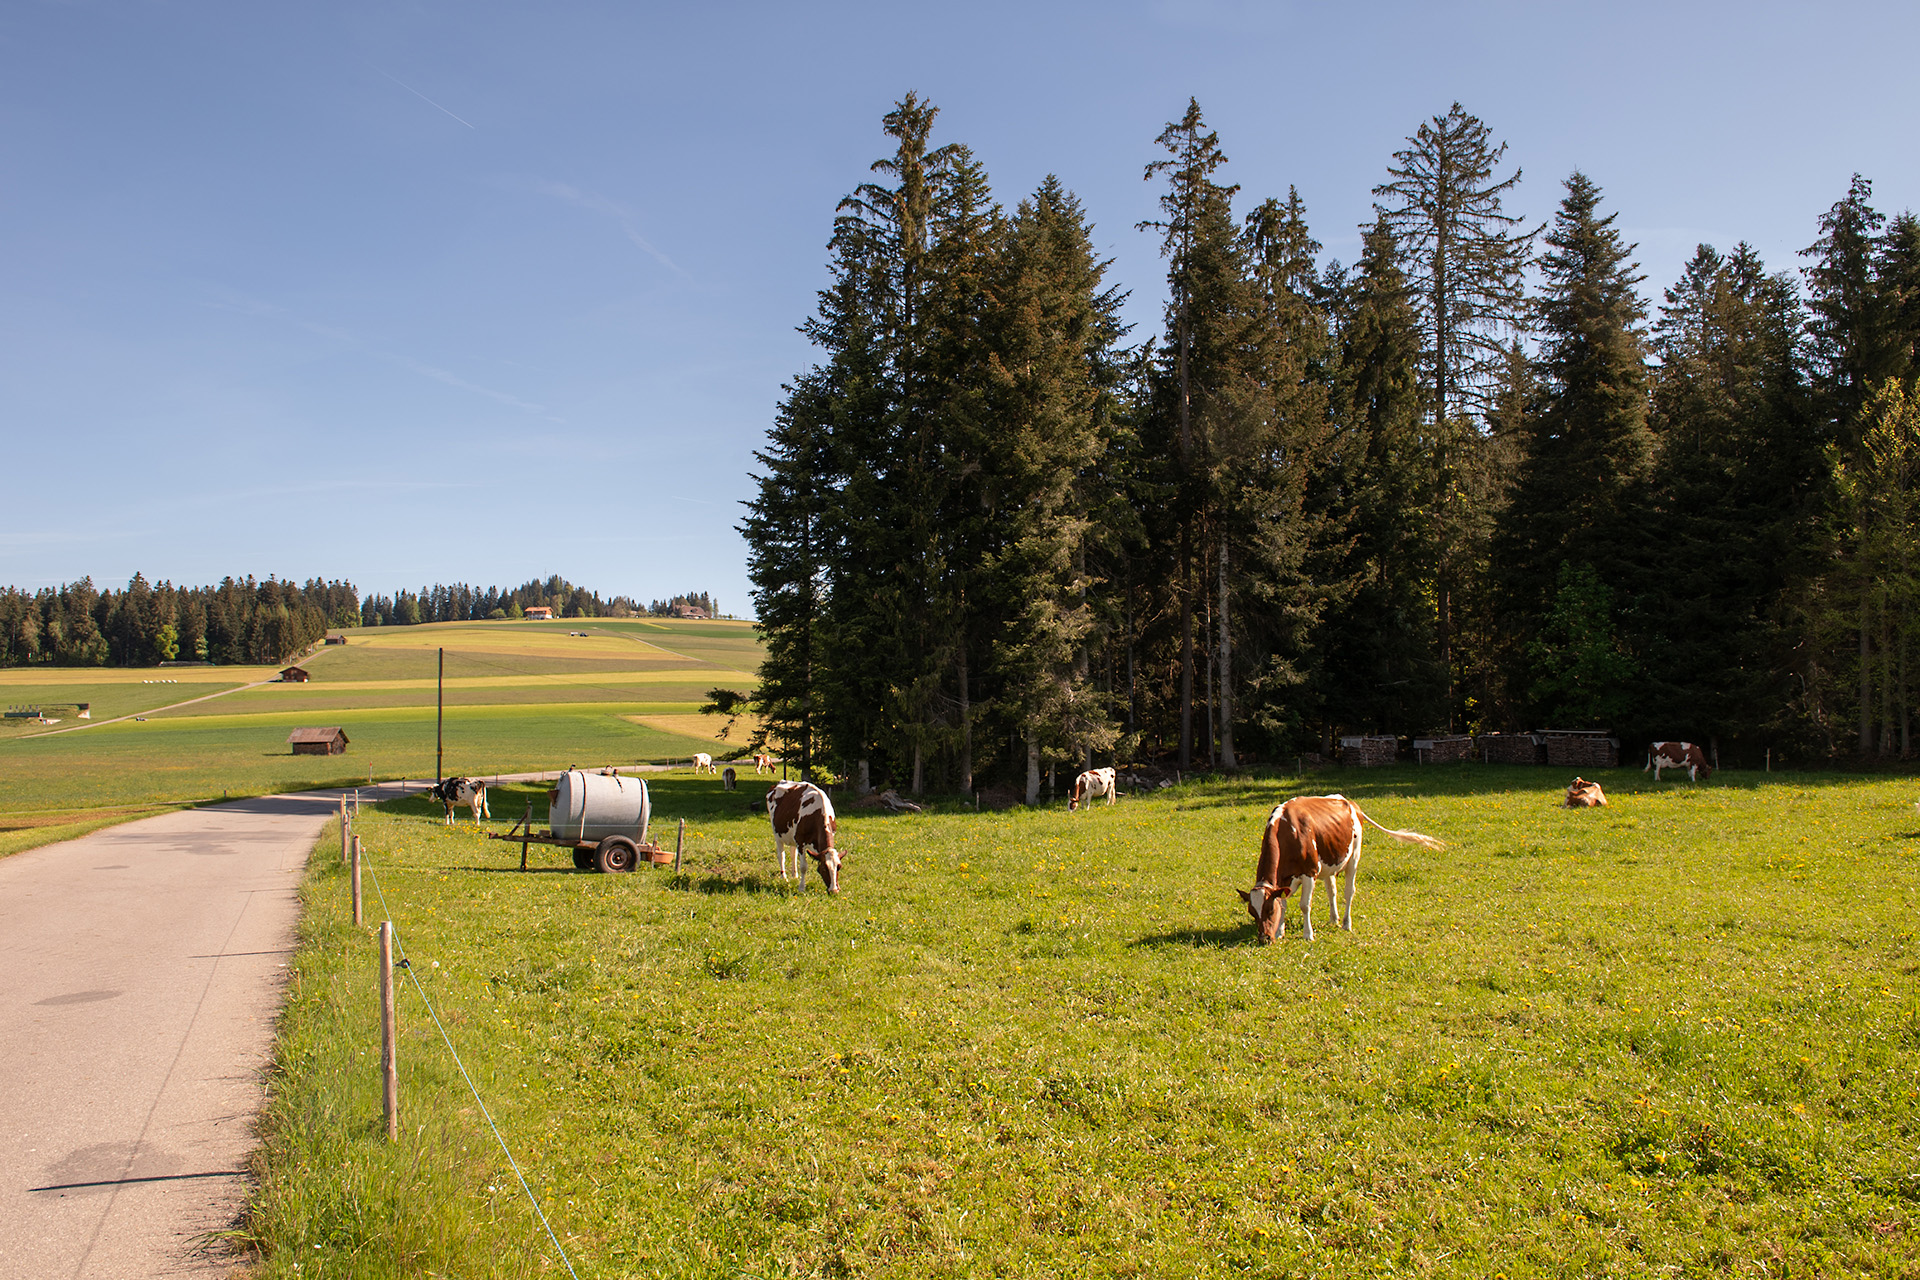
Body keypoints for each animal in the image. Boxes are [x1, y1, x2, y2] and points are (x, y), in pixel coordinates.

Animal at [1244, 794, 1443, 948]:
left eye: (1269, 910)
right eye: (1252, 912)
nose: (1264, 938)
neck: (1287, 832)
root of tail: (1351, 803)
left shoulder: (1309, 873)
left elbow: (1304, 905)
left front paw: (1308, 935)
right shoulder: (1285, 879)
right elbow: (1284, 903)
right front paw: (1279, 932)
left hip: (1354, 857)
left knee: (1349, 892)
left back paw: (1346, 923)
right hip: (1329, 863)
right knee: (1332, 891)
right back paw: (1334, 918)